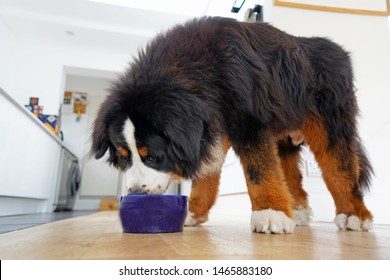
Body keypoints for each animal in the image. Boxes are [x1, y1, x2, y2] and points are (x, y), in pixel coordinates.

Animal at [90, 16, 374, 233]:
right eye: (124, 158)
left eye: (154, 157)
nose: (136, 192)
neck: (194, 70)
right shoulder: (210, 126)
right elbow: (206, 173)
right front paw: (194, 212)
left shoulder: (249, 123)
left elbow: (260, 171)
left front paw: (269, 212)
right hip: (284, 133)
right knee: (290, 174)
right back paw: (298, 211)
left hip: (330, 123)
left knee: (339, 168)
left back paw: (354, 214)